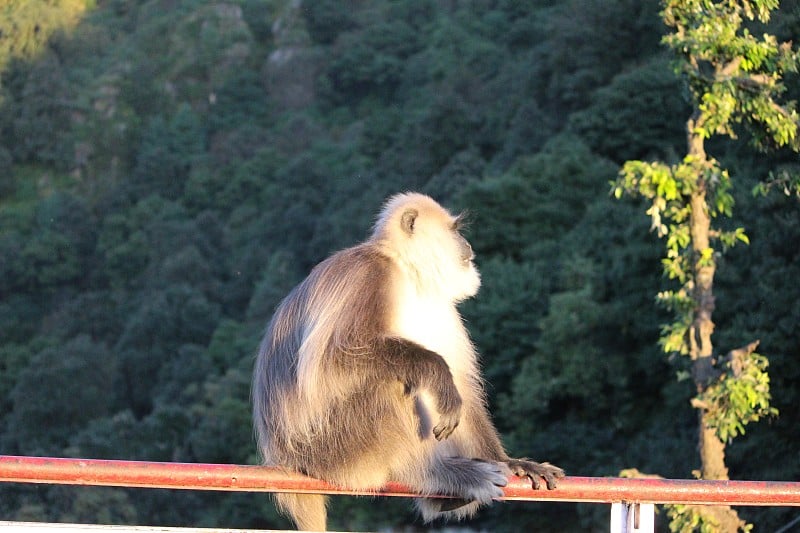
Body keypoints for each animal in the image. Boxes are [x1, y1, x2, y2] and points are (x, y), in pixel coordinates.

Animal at [250, 190, 564, 528]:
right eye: (455, 230)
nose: (468, 246)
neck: (406, 271)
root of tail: (286, 459)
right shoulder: (370, 275)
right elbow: (333, 359)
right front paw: (438, 373)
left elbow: (462, 385)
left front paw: (510, 461)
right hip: (334, 452)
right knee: (391, 383)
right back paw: (432, 472)